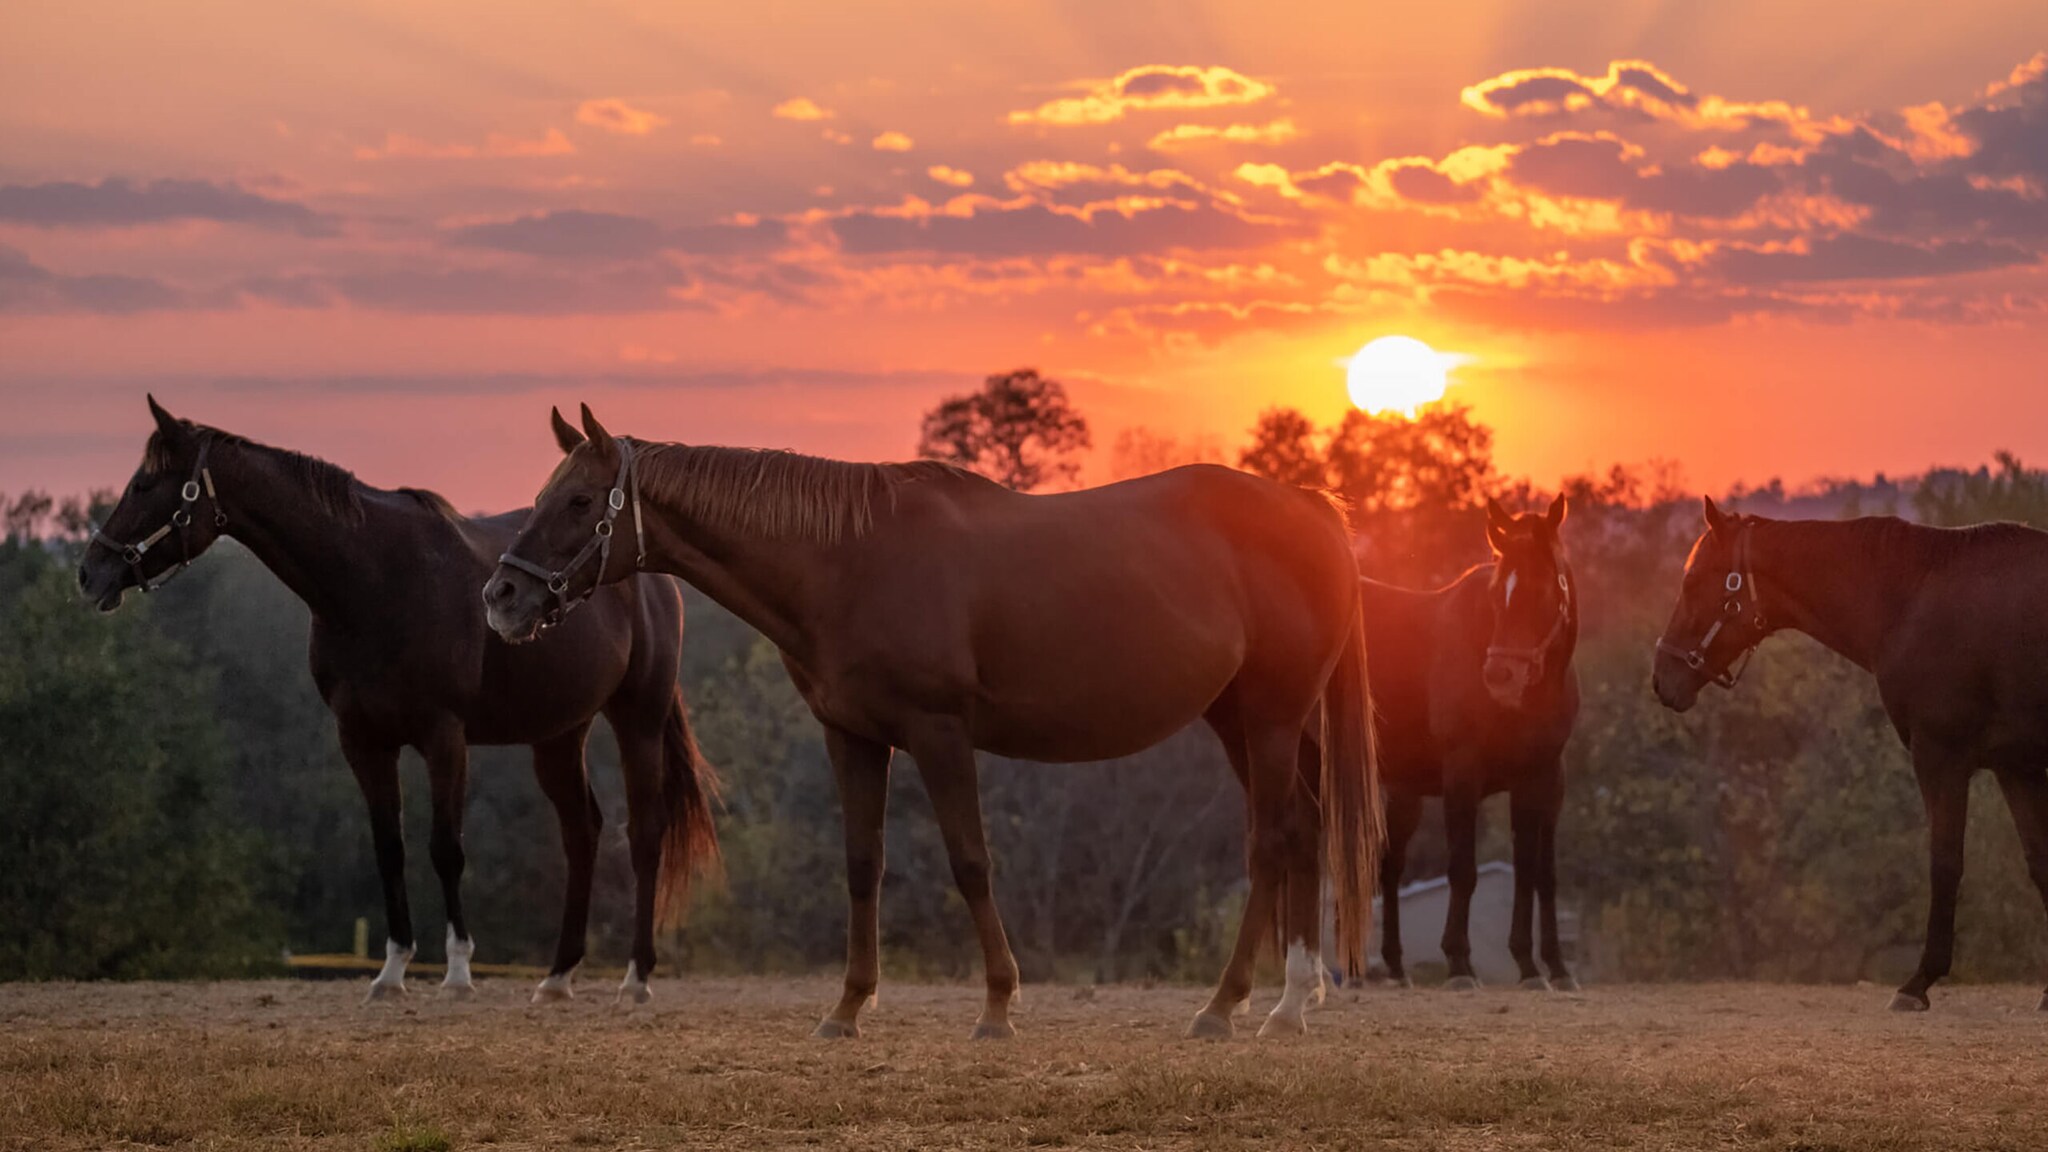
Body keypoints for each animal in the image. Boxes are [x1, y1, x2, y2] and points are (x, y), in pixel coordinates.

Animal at [77, 396, 720, 1004]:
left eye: (145, 485)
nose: (89, 573)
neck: (376, 580)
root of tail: (653, 575)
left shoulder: (444, 737)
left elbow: (445, 849)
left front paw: (457, 971)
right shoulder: (362, 740)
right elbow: (390, 847)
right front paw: (391, 972)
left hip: (638, 718)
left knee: (644, 832)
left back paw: (636, 978)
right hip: (559, 735)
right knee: (581, 832)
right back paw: (558, 977)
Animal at [483, 405, 1382, 1040]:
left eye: (578, 501)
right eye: (543, 496)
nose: (502, 597)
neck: (847, 560)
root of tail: (1310, 511)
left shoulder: (939, 732)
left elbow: (970, 861)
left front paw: (998, 1006)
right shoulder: (852, 737)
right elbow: (863, 865)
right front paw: (847, 1009)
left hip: (1270, 719)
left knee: (1272, 842)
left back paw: (1226, 1008)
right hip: (1240, 720)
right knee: (1303, 829)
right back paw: (1292, 1001)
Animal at [1362, 496, 1580, 992]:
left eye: (1543, 591)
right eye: (1498, 596)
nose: (1500, 675)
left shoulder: (1544, 778)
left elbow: (1538, 873)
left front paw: (1543, 967)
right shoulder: (1463, 773)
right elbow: (1463, 869)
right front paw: (1460, 962)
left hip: (1401, 790)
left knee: (1388, 864)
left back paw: (1395, 967)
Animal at [1653, 498, 2048, 1013]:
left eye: (1692, 581)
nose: (1662, 678)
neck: (1911, 596)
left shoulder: (1940, 757)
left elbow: (1945, 863)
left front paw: (1918, 982)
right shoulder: (2015, 768)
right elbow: (2040, 862)